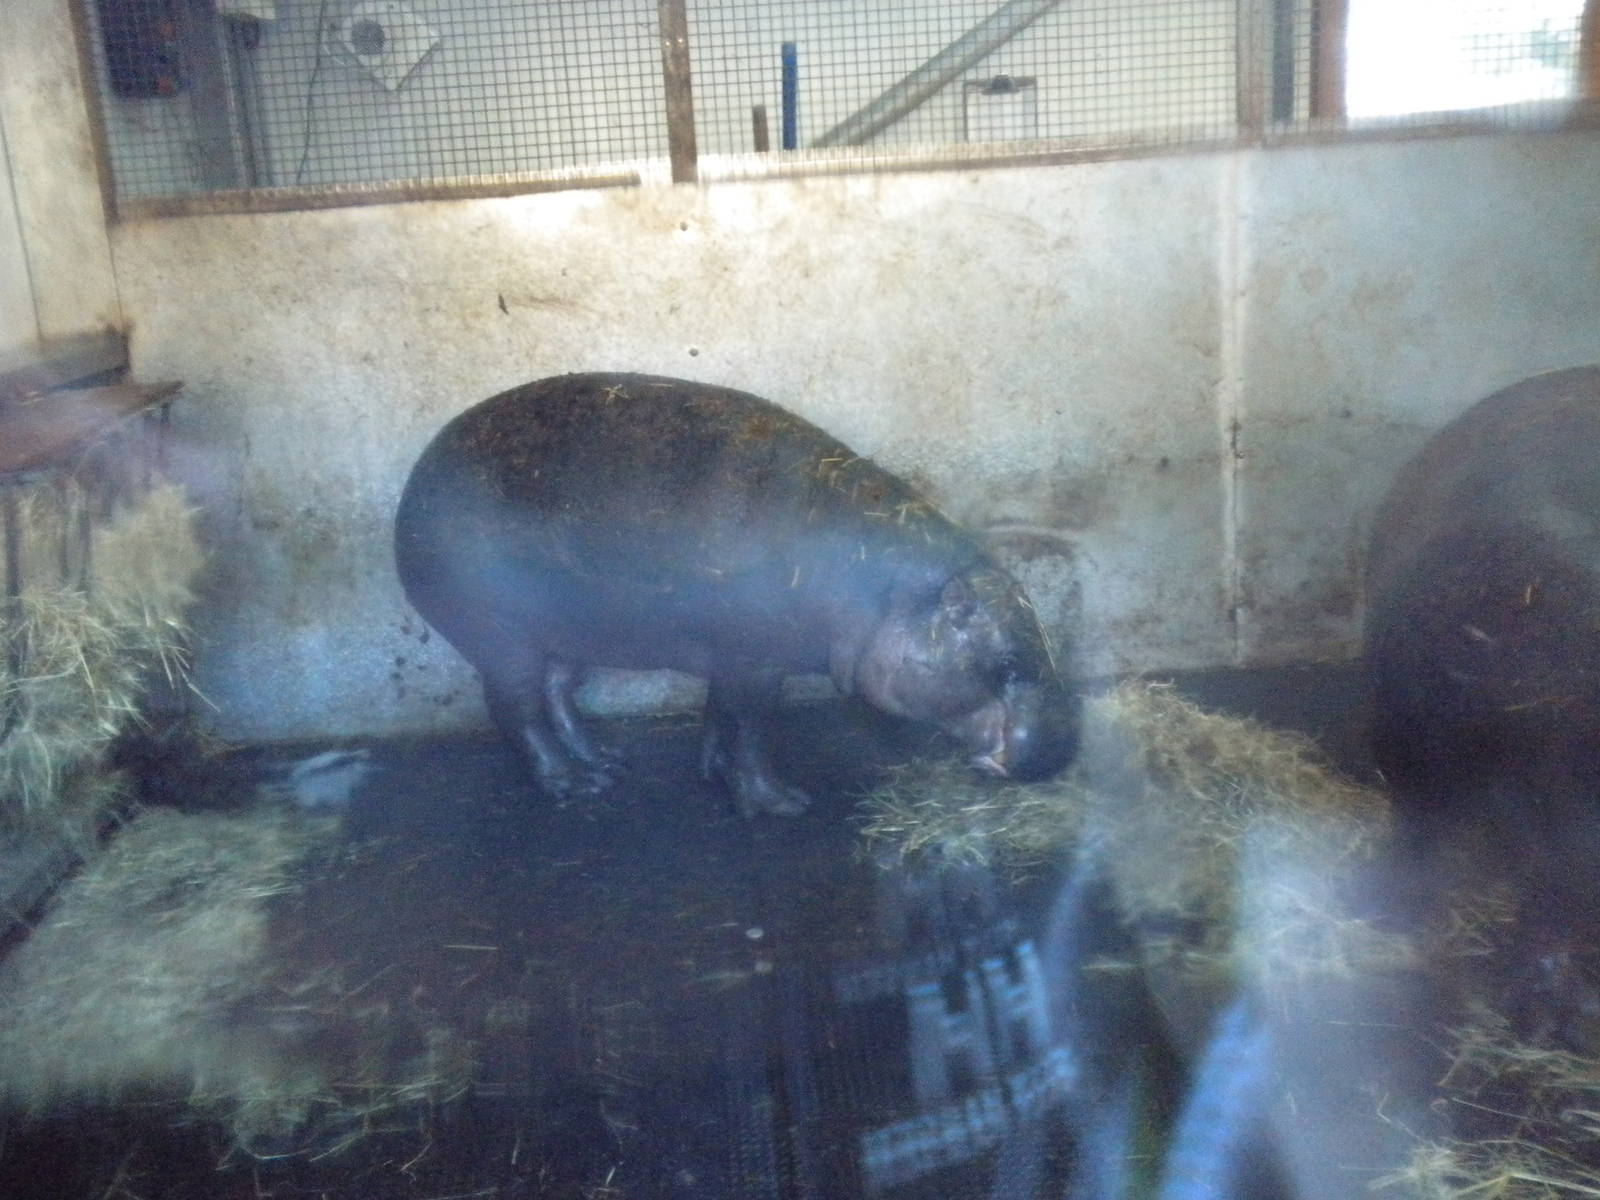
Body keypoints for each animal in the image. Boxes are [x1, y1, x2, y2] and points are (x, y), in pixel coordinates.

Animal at [395, 372, 1079, 816]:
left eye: (1044, 638)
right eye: (1005, 664)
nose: (1063, 753)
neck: (891, 593)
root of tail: (415, 484)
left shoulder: (735, 659)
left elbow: (719, 719)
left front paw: (712, 774)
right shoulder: (754, 660)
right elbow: (749, 730)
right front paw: (784, 805)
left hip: (571, 631)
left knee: (560, 693)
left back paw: (607, 764)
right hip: (503, 638)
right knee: (519, 709)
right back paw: (574, 786)